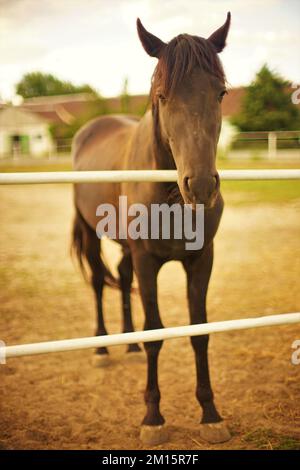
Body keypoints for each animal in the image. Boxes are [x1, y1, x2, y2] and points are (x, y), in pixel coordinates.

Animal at [72, 12, 232, 446]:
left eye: (221, 94)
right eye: (162, 96)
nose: (202, 185)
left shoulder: (202, 259)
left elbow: (199, 331)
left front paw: (210, 414)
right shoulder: (148, 262)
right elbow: (156, 333)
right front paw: (153, 418)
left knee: (121, 277)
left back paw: (126, 344)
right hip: (92, 235)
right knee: (98, 281)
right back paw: (102, 347)